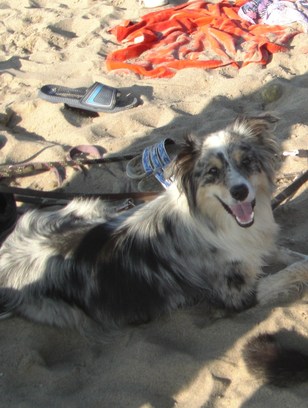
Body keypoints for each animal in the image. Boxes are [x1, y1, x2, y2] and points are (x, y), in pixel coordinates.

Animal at [0, 114, 308, 376]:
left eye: (246, 162)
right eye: (212, 172)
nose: (241, 192)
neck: (220, 221)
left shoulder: (258, 246)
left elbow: (291, 256)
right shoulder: (235, 295)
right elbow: (292, 271)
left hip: (84, 206)